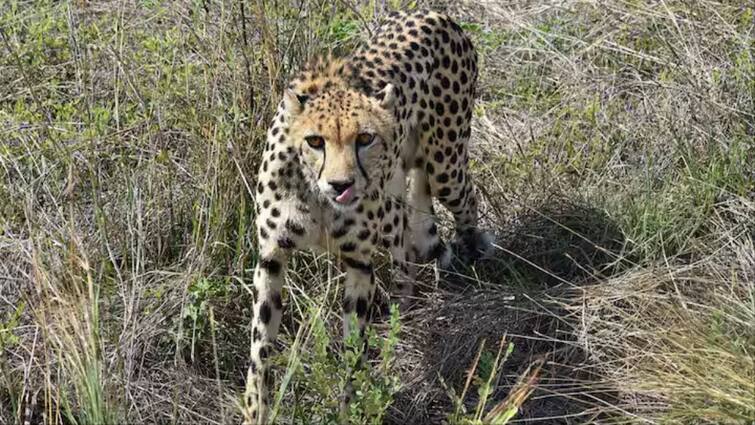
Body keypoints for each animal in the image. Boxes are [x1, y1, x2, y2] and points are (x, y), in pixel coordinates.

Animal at [242, 10, 490, 424]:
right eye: (315, 141)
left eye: (364, 138)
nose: (341, 184)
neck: (318, 197)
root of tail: (434, 13)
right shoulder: (271, 257)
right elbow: (261, 349)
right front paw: (255, 410)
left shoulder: (358, 263)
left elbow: (353, 350)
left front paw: (348, 406)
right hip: (398, 198)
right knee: (408, 241)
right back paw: (404, 312)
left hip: (445, 167)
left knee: (463, 205)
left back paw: (468, 265)